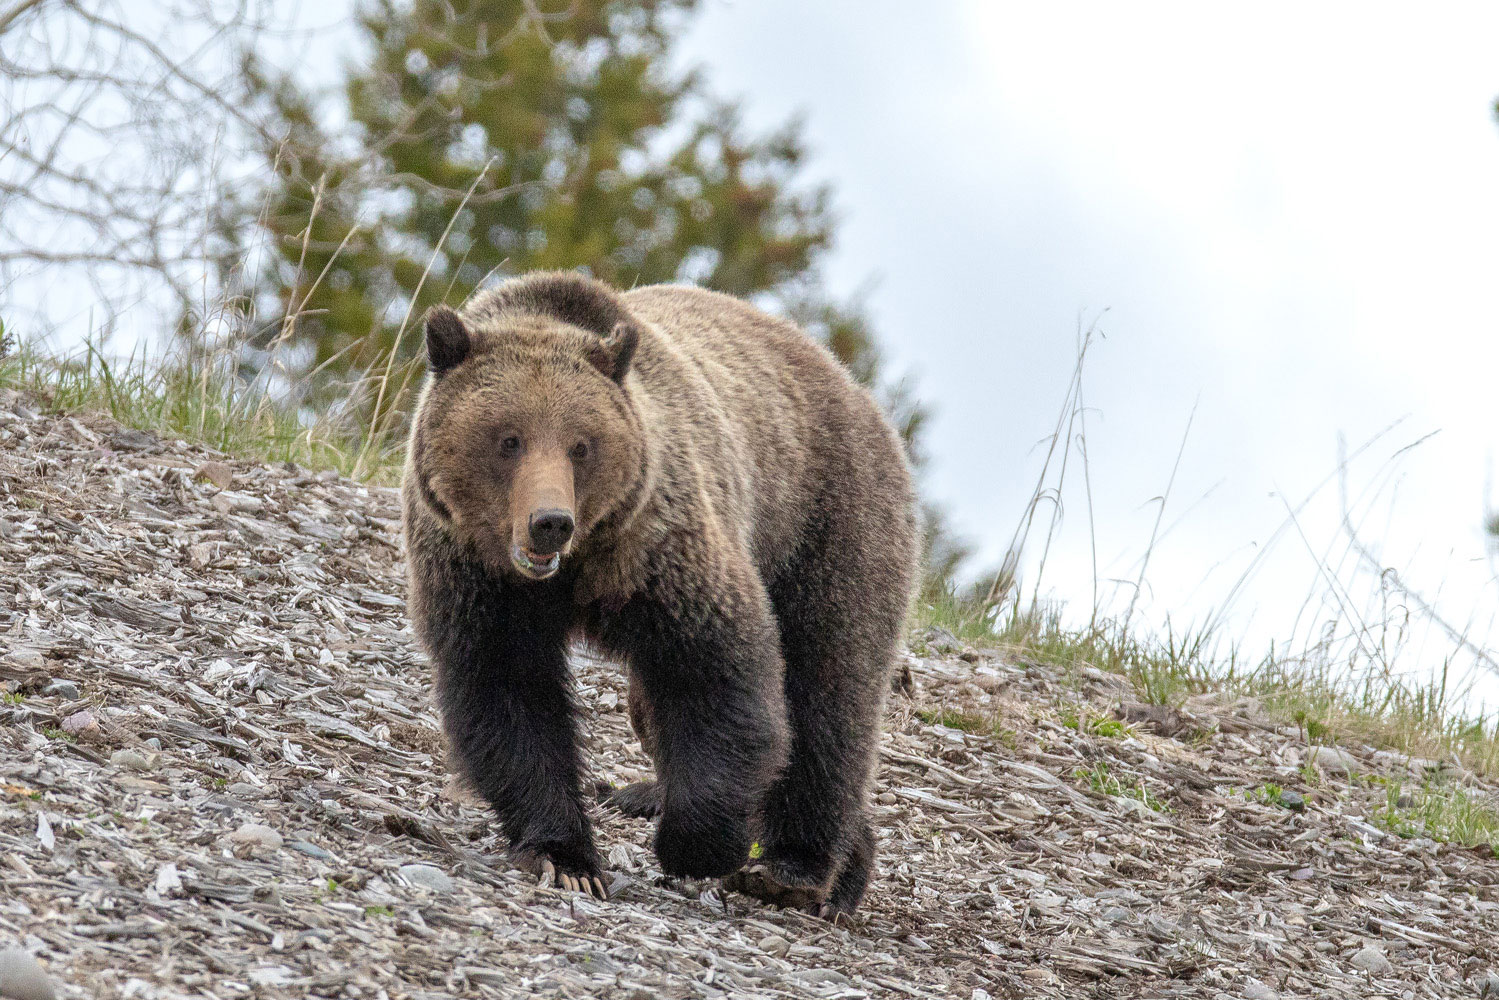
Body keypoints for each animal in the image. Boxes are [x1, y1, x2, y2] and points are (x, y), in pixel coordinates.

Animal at [401, 269, 911, 917]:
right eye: (508, 439)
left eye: (581, 444)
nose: (550, 522)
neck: (574, 571)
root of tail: (851, 382)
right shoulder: (478, 580)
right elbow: (509, 693)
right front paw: (566, 858)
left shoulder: (661, 550)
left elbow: (715, 672)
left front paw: (697, 844)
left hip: (827, 523)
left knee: (829, 691)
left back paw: (797, 867)